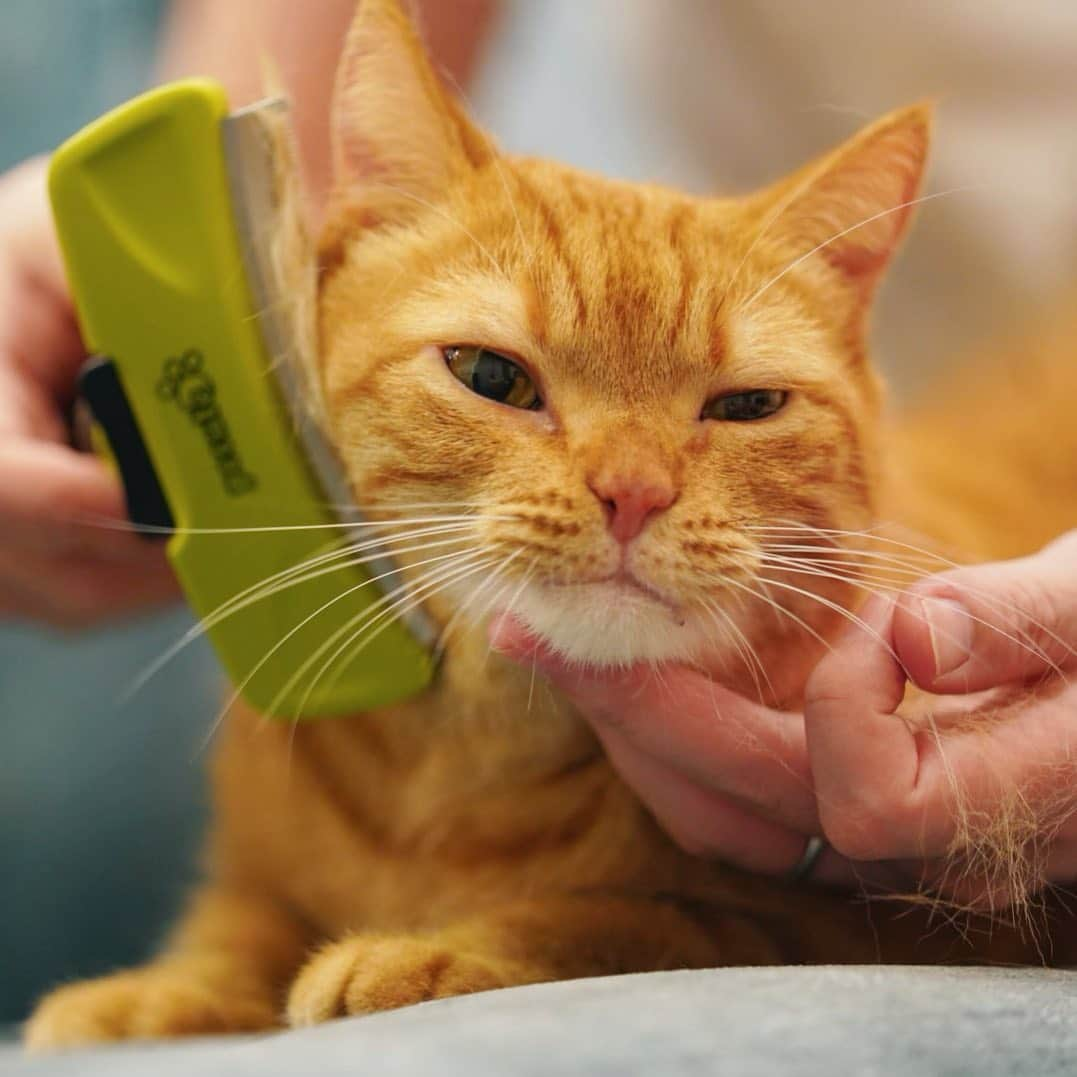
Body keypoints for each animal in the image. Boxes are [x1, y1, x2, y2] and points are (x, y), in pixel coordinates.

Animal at [25, 0, 1077, 1046]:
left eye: (746, 406)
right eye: (492, 376)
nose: (632, 492)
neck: (463, 773)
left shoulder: (886, 919)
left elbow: (638, 916)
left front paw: (434, 951)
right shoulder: (254, 874)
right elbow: (236, 923)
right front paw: (160, 989)